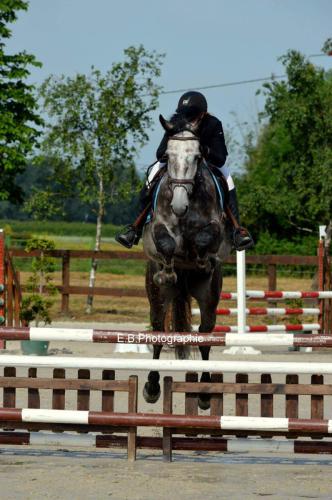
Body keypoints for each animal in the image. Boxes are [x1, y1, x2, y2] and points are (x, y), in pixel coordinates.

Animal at [142, 114, 231, 410]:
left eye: (196, 156)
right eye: (168, 156)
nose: (180, 206)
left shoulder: (216, 227)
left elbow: (205, 237)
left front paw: (201, 259)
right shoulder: (158, 226)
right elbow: (166, 242)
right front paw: (168, 269)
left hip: (208, 298)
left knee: (204, 338)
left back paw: (203, 393)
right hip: (158, 299)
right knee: (158, 334)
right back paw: (152, 387)